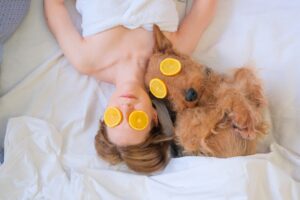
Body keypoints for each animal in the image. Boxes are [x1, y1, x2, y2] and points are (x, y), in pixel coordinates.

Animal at [144, 25, 270, 157]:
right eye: (161, 93)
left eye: (170, 66)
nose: (190, 95)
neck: (206, 95)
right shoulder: (188, 132)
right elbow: (227, 92)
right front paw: (245, 118)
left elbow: (244, 73)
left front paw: (252, 106)